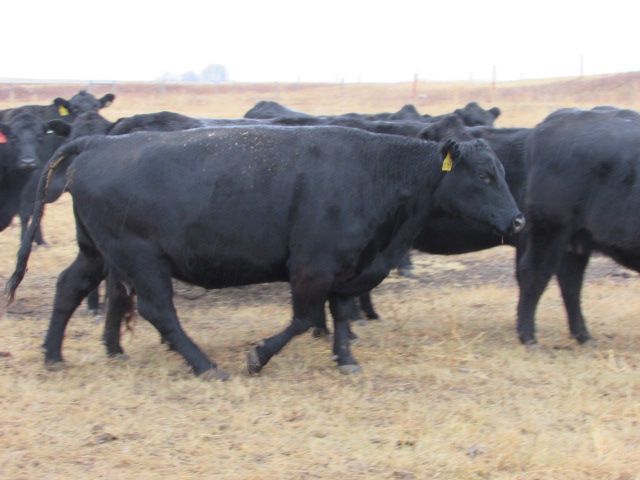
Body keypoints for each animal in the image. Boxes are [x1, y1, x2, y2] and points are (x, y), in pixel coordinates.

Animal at [7, 125, 523, 379]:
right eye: (483, 176)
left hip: (96, 251)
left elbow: (341, 313)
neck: (374, 171)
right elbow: (305, 318)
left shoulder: (349, 266)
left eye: (501, 171)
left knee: (68, 287)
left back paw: (53, 356)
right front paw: (258, 357)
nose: (518, 221)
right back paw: (206, 367)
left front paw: (347, 361)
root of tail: (98, 141)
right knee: (159, 311)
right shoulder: (312, 266)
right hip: (140, 258)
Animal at [516, 107, 640, 345]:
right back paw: (528, 336)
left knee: (570, 282)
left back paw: (582, 335)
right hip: (550, 230)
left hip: (576, 239)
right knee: (534, 272)